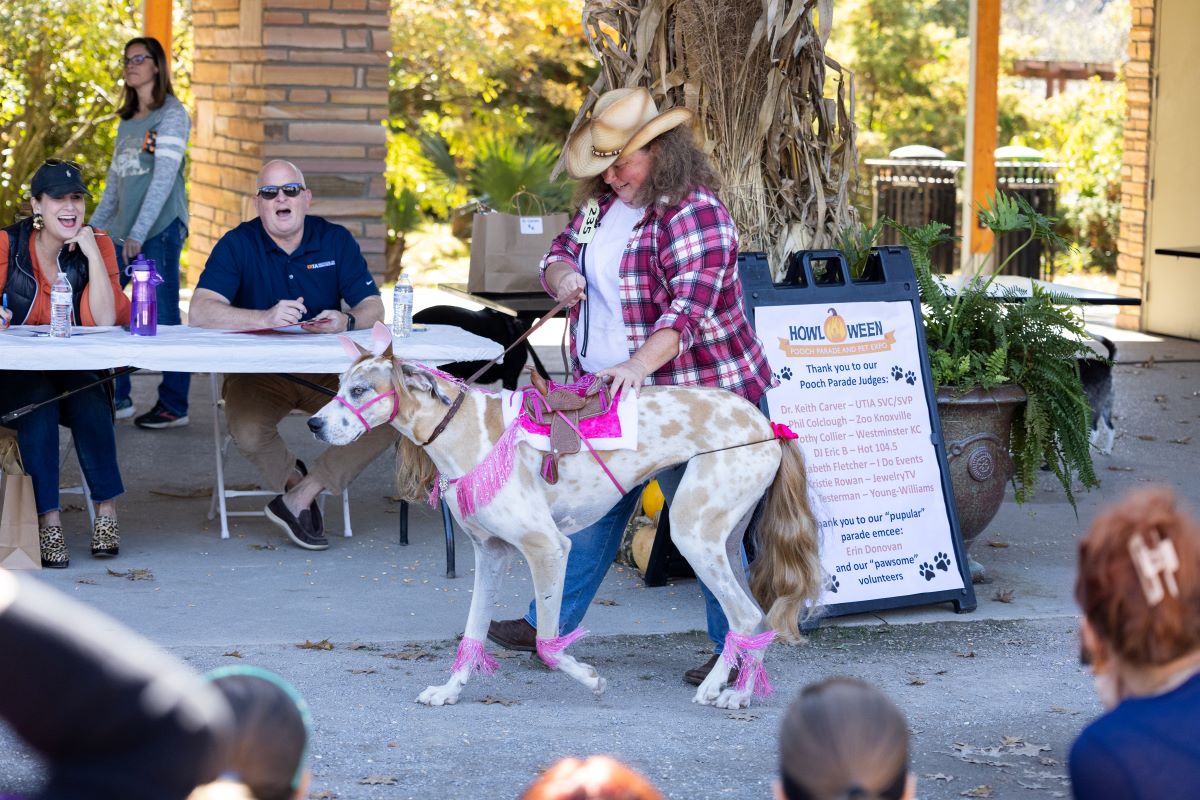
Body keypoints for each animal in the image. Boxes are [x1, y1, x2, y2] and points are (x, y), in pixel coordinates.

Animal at [307, 321, 825, 710]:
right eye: (340, 386)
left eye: (359, 389)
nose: (313, 424)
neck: (468, 431)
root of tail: (768, 426)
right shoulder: (489, 554)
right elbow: (472, 633)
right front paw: (450, 690)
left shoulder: (548, 548)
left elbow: (546, 641)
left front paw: (589, 678)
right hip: (723, 541)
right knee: (758, 618)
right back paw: (740, 693)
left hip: (692, 534)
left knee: (744, 616)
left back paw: (719, 687)